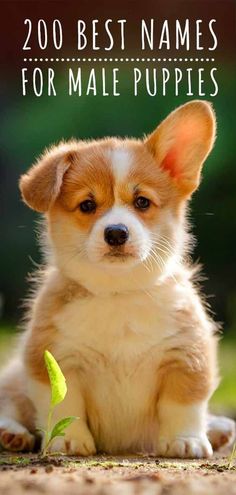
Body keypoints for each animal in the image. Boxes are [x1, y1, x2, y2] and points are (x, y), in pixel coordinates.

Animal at [0, 100, 234, 458]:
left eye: (142, 202)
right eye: (87, 205)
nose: (116, 233)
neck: (119, 293)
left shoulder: (187, 355)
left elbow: (184, 404)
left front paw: (185, 440)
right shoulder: (55, 358)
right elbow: (66, 405)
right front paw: (68, 441)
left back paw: (219, 428)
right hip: (15, 378)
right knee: (9, 403)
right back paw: (12, 433)